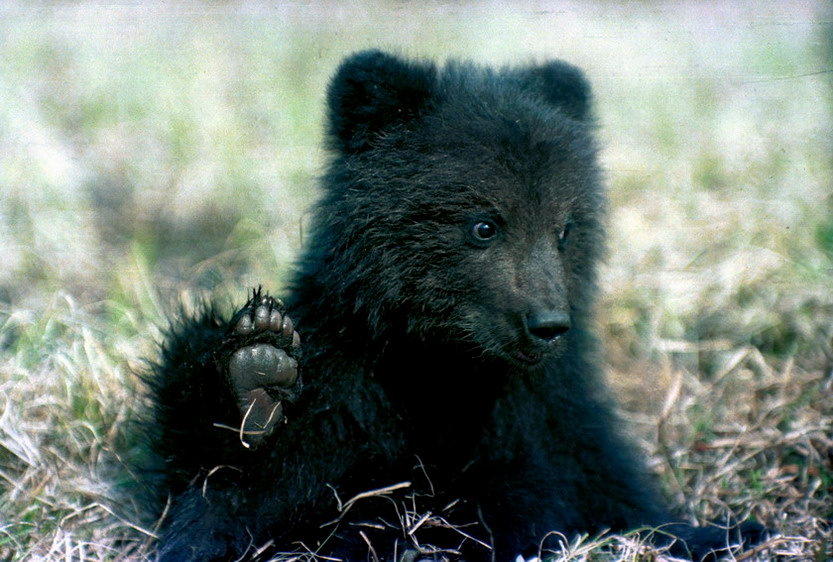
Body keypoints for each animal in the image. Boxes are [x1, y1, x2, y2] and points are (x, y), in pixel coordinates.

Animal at [136, 50, 766, 561]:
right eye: (484, 224)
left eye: (564, 228)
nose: (548, 325)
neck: (442, 367)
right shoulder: (345, 387)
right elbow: (232, 485)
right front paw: (253, 373)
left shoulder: (549, 411)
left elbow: (606, 496)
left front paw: (722, 530)